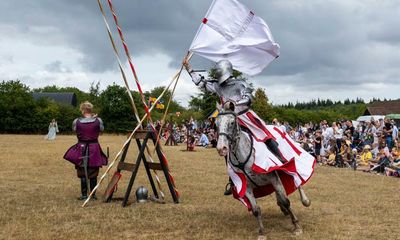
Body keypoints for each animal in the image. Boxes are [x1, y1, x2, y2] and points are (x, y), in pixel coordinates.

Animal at [216, 102, 310, 239]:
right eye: (216, 124)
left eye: (232, 122)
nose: (221, 148)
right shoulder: (245, 187)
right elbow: (256, 210)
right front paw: (262, 233)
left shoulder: (273, 177)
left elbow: (286, 201)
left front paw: (297, 226)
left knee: (297, 181)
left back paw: (305, 200)